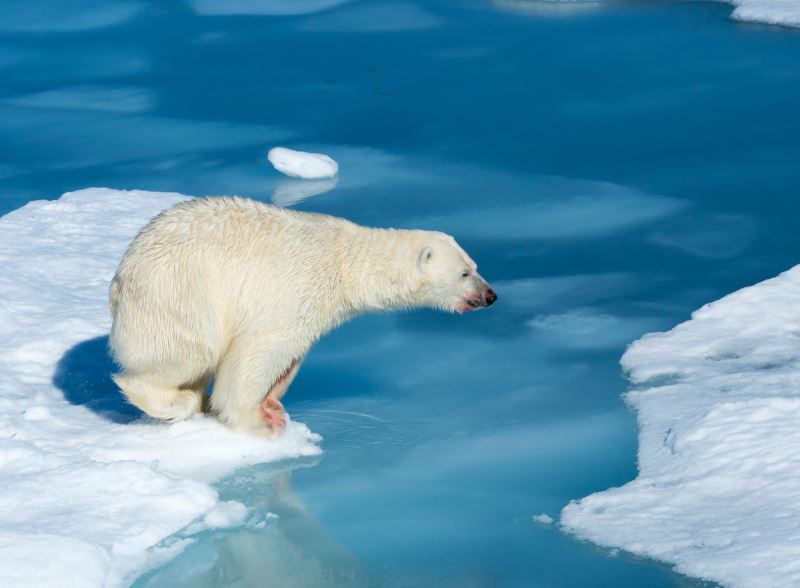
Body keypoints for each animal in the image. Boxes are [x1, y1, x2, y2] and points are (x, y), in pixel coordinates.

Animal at [106, 200, 494, 434]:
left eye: (476, 265)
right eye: (464, 273)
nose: (490, 296)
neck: (347, 263)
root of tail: (121, 276)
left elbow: (292, 354)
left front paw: (273, 402)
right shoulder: (294, 290)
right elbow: (258, 351)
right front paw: (258, 421)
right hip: (176, 292)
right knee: (187, 353)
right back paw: (173, 401)